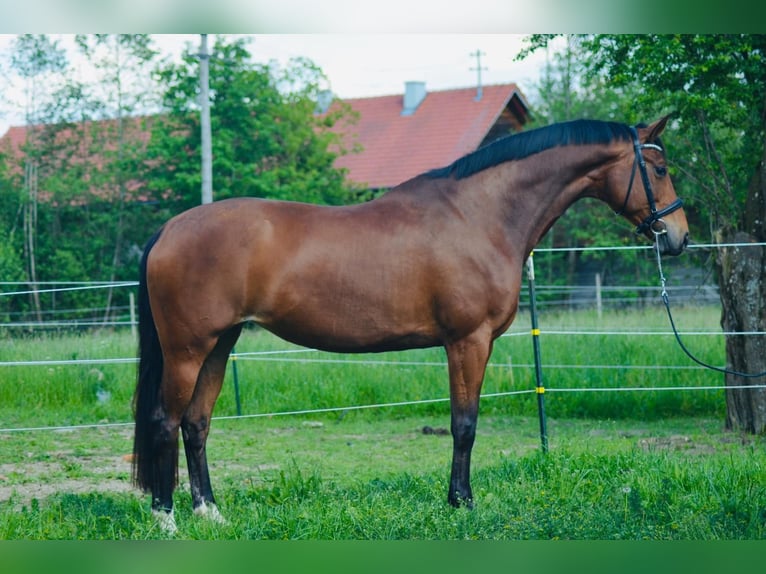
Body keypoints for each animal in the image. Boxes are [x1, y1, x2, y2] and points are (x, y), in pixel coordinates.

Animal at [132, 117, 688, 536]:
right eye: (659, 168)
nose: (677, 236)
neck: (478, 215)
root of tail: (169, 229)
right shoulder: (468, 341)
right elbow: (464, 425)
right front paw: (462, 502)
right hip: (187, 349)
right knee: (164, 421)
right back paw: (166, 519)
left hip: (218, 345)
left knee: (196, 423)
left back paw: (210, 512)